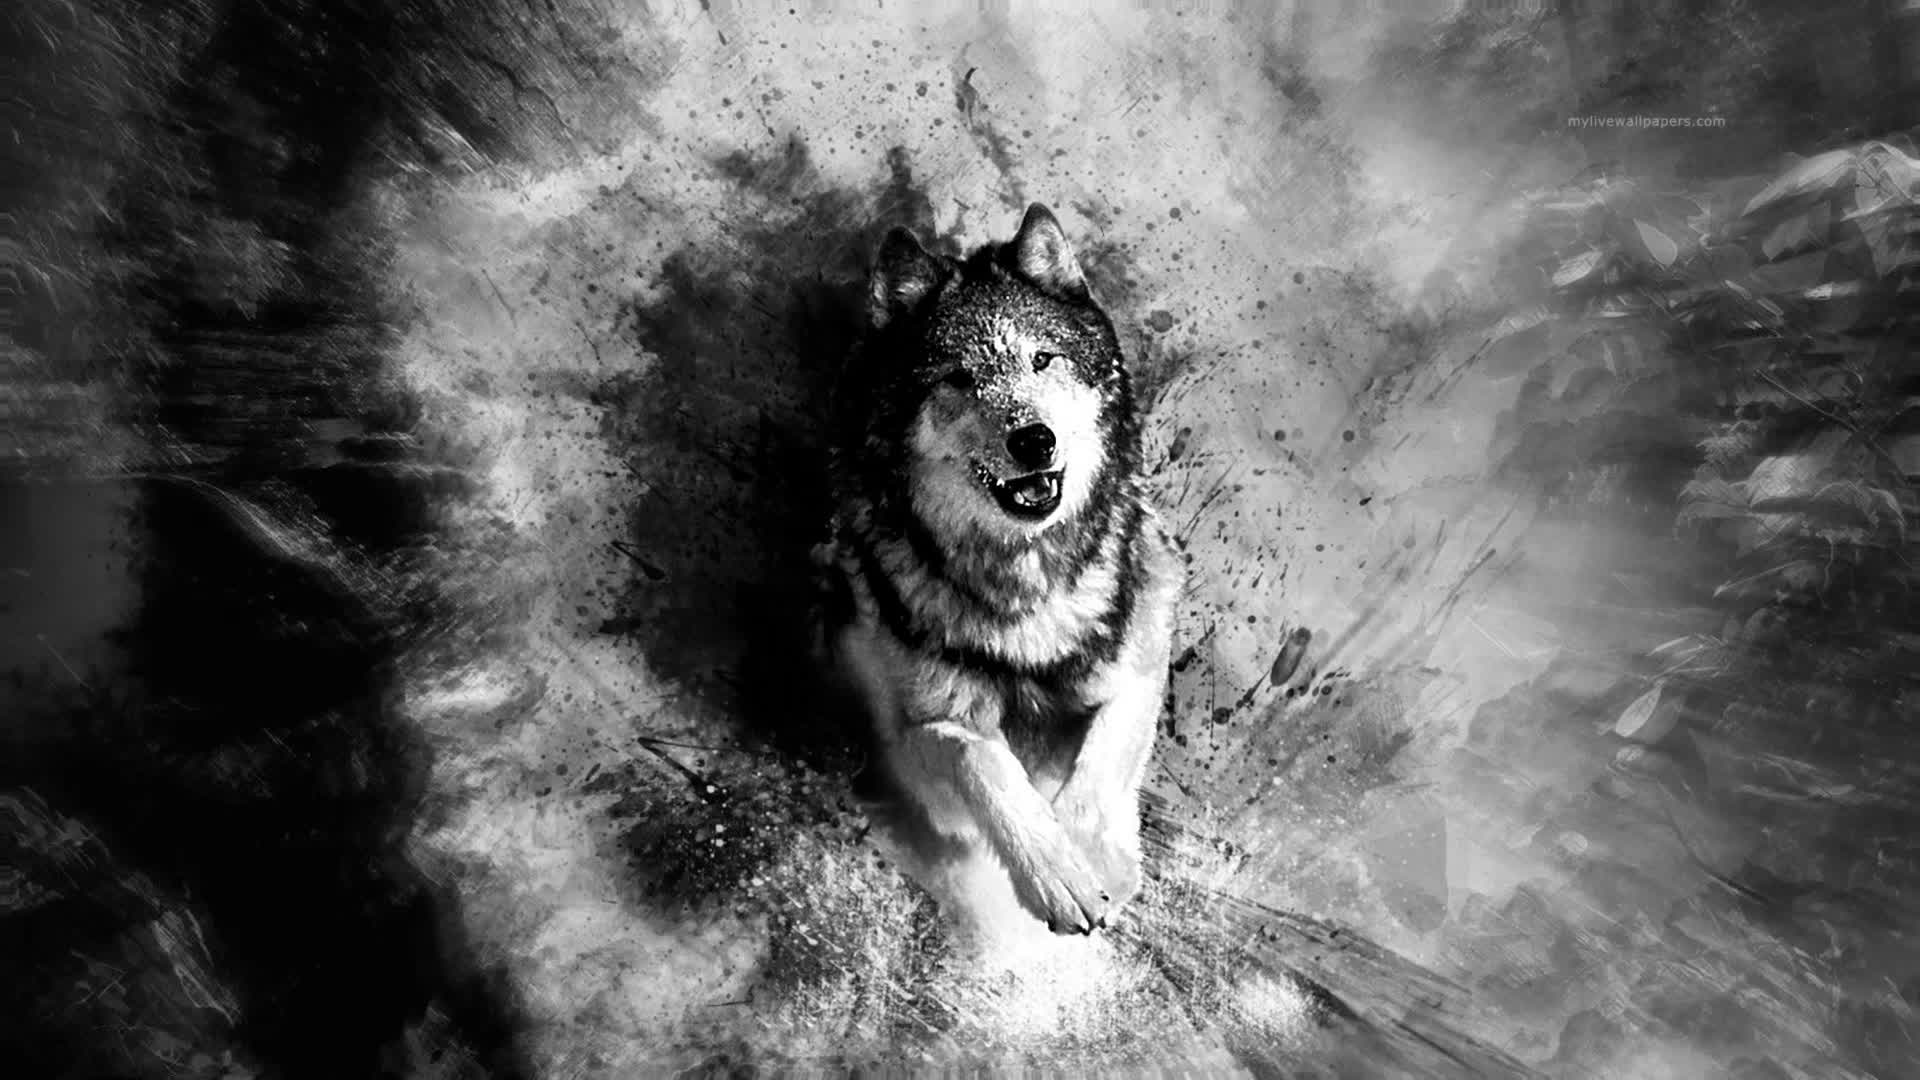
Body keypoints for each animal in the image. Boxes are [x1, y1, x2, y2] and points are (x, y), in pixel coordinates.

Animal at [812, 203, 1181, 936]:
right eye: (958, 377)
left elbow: (1102, 759)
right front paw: (1057, 874)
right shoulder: (910, 739)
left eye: (1043, 359)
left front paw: (1095, 860)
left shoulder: (1144, 653)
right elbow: (979, 758)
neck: (1025, 578)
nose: (1034, 439)